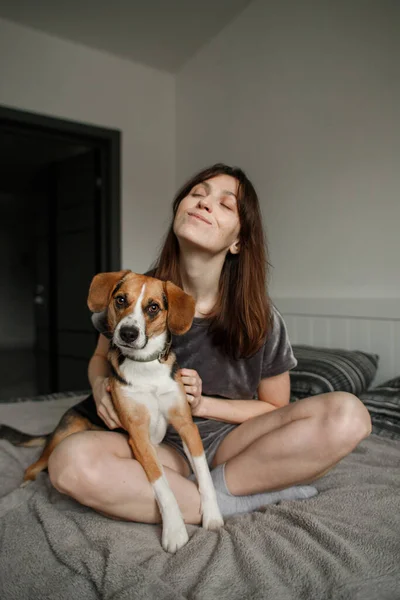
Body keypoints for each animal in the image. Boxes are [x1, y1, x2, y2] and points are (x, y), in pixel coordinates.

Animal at [1, 272, 223, 552]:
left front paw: (213, 515)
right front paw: (174, 530)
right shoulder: (138, 435)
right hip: (66, 433)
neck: (146, 366)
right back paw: (24, 486)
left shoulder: (186, 425)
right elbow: (162, 484)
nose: (128, 333)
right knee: (34, 466)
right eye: (121, 300)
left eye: (153, 307)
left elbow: (203, 474)